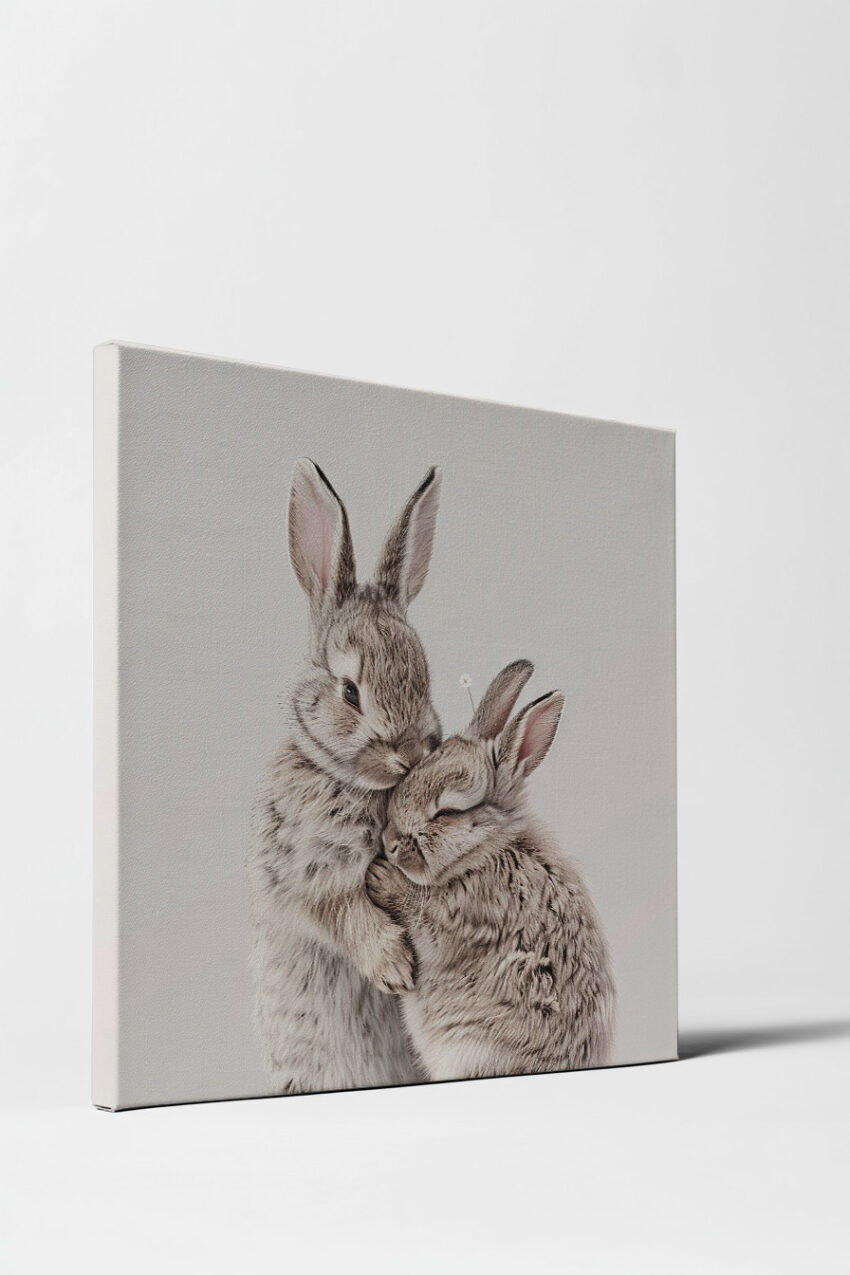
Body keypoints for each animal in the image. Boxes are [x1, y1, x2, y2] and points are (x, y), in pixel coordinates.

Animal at [247, 458, 444, 1095]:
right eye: (351, 692)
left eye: (425, 679)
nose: (408, 755)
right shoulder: (308, 876)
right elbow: (343, 913)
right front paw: (395, 969)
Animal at [365, 659, 615, 1083]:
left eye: (448, 812)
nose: (391, 843)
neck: (484, 851)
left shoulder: (475, 914)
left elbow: (426, 926)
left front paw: (380, 878)